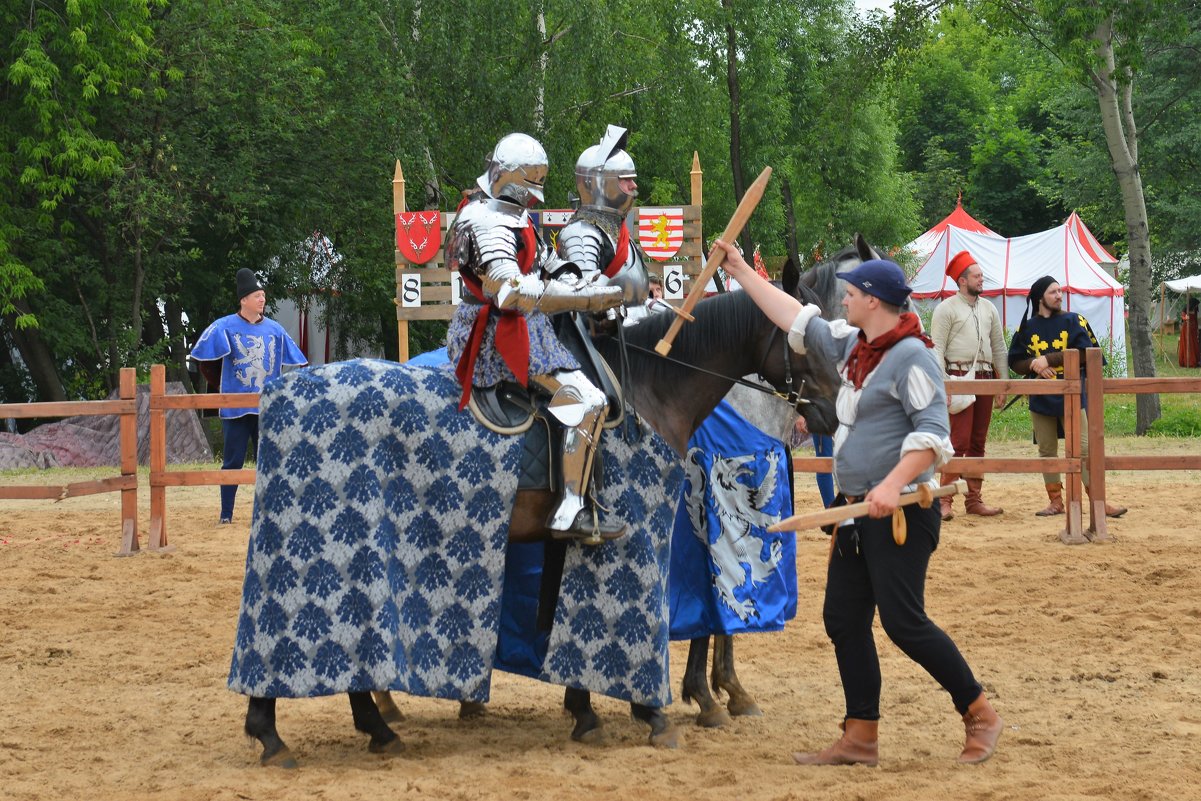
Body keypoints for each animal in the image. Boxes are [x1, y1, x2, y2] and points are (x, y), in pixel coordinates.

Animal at [229, 253, 840, 768]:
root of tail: (280, 389)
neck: (653, 386)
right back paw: (278, 732)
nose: (835, 413)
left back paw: (364, 728)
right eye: (807, 338)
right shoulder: (644, 537)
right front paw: (658, 713)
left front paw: (589, 713)